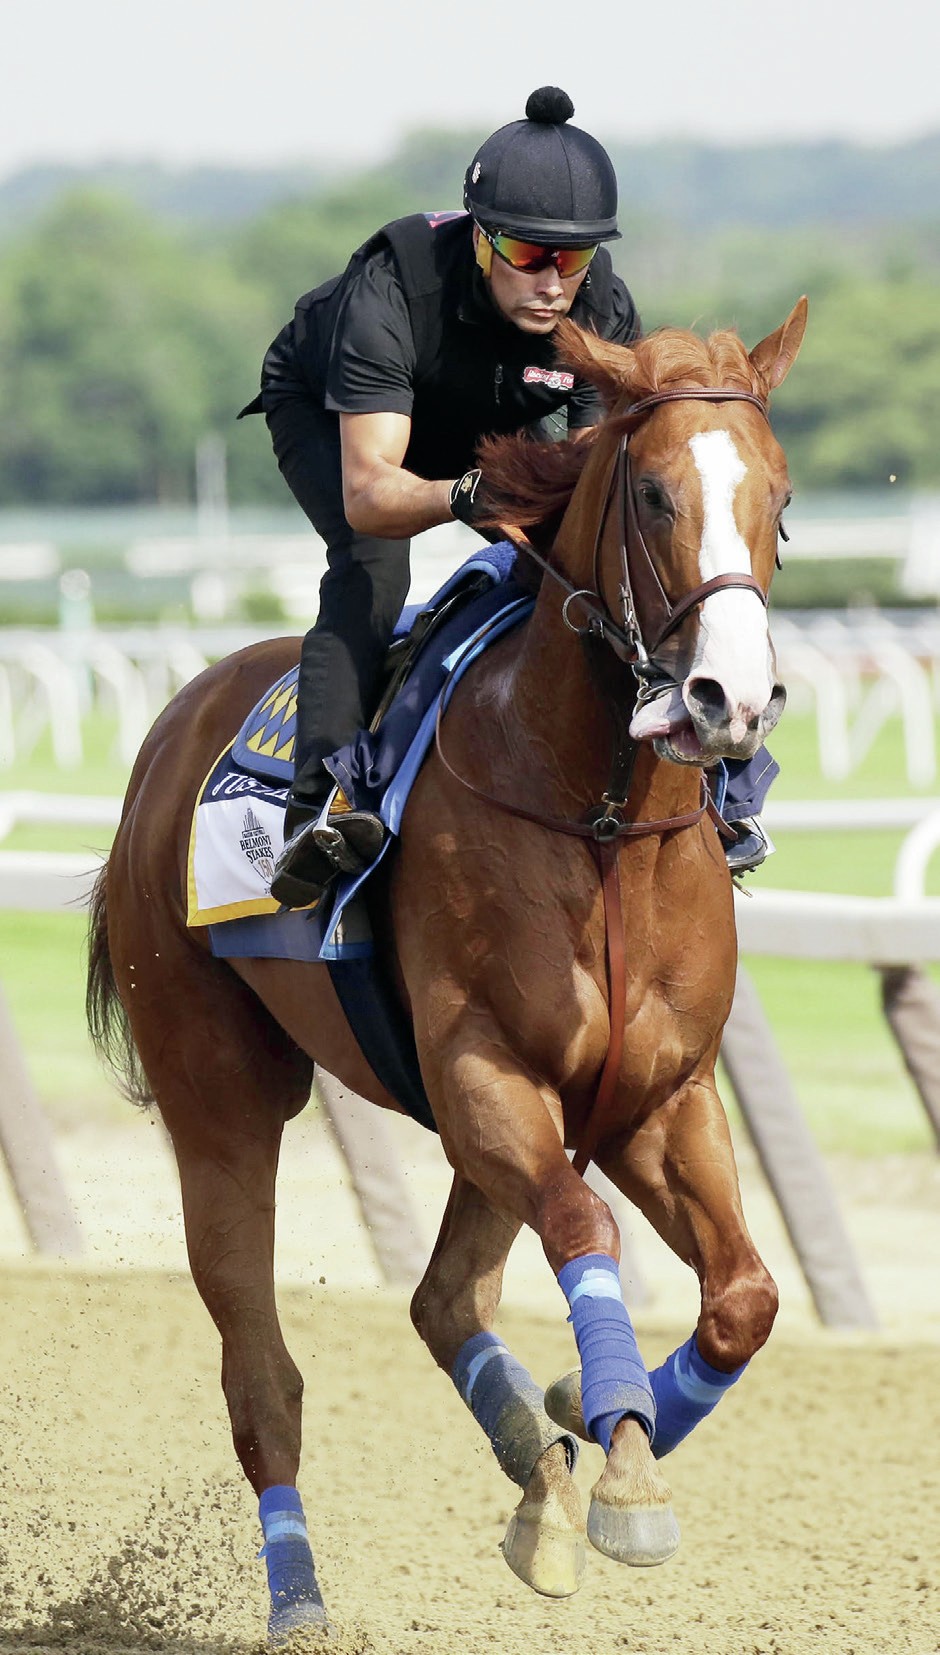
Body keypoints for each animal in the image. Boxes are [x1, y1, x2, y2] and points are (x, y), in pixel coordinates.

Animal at [88, 304, 804, 1648]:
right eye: (650, 492)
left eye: (780, 500)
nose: (728, 701)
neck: (596, 817)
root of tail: (168, 728)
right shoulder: (486, 1070)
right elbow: (583, 1225)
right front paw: (621, 1474)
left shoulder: (651, 1097)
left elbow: (744, 1295)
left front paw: (589, 1417)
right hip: (219, 1092)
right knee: (262, 1368)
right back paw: (301, 1594)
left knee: (441, 1301)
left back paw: (538, 1469)